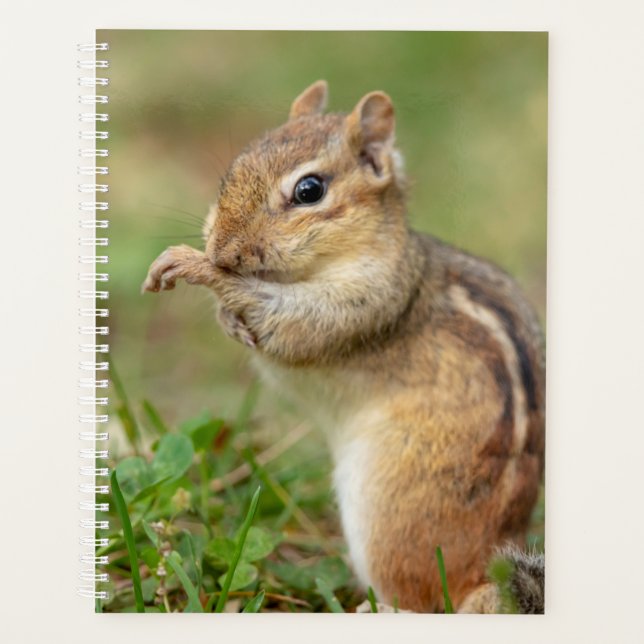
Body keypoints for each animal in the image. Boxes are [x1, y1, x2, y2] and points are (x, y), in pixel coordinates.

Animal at [142, 80, 546, 613]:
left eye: (309, 190)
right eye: (234, 168)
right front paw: (226, 314)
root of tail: (486, 575)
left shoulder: (365, 304)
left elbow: (291, 323)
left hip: (387, 514)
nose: (221, 250)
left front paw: (196, 266)